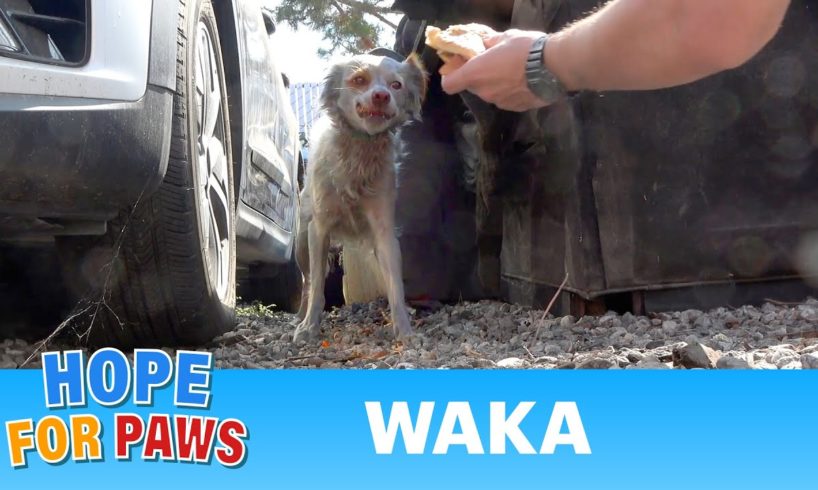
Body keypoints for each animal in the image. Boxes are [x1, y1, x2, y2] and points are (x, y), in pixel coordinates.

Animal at [292, 51, 428, 342]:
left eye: (396, 85)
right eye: (359, 80)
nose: (381, 96)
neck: (359, 148)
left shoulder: (384, 233)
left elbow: (395, 286)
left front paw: (405, 330)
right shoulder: (319, 229)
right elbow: (318, 284)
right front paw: (309, 327)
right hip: (301, 242)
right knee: (307, 281)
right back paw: (299, 317)